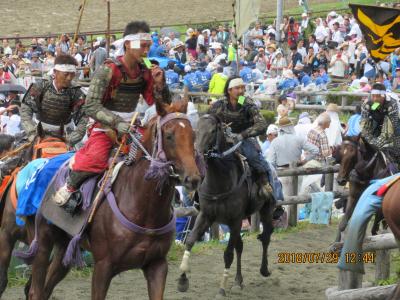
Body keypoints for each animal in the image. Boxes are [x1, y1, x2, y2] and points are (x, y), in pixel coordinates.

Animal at [24, 99, 200, 300]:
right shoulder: (103, 266)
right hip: (43, 240)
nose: (193, 178)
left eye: (193, 134)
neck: (144, 209)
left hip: (65, 244)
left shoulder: (157, 265)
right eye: (169, 136)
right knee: (36, 290)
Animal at [178, 113, 276, 296]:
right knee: (241, 246)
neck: (220, 180)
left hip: (265, 210)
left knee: (265, 237)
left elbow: (228, 254)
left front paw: (221, 289)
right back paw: (238, 281)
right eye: (195, 131)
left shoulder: (235, 220)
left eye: (212, 131)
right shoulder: (206, 215)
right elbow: (190, 241)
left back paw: (264, 269)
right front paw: (182, 280)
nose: (198, 154)